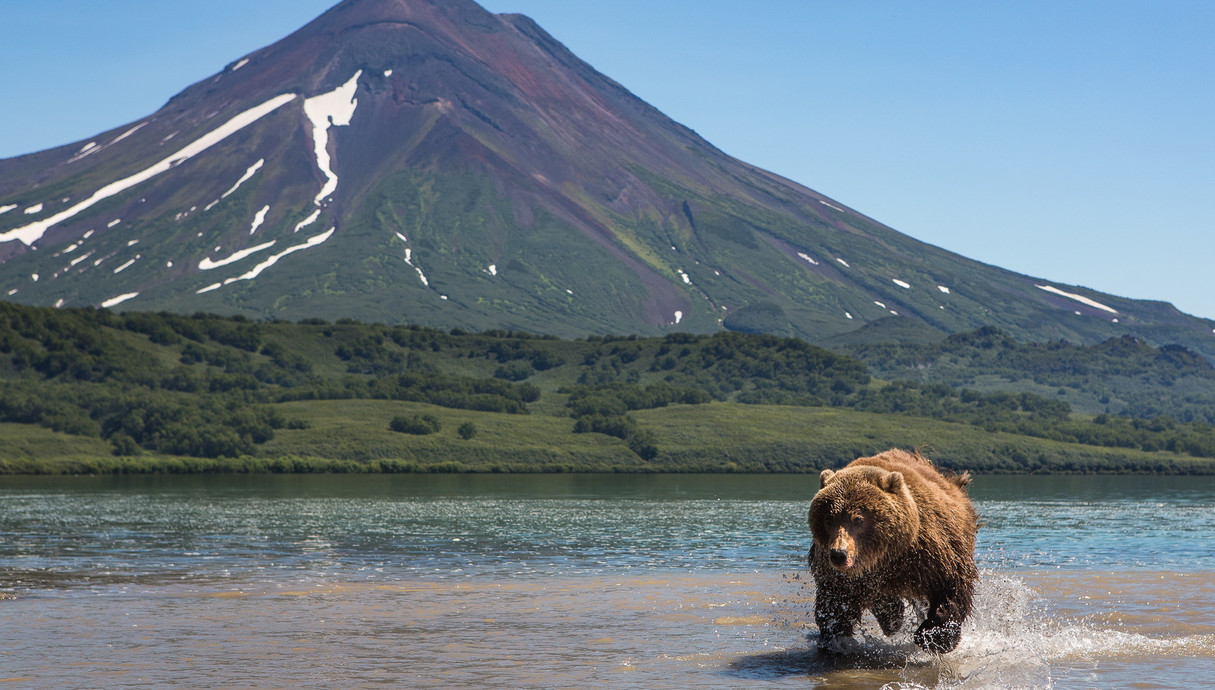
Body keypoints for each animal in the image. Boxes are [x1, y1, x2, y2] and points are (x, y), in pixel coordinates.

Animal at [806, 449, 976, 655]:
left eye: (858, 519)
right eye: (829, 518)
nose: (839, 554)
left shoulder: (930, 553)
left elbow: (951, 584)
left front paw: (933, 637)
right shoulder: (838, 572)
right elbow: (836, 602)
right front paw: (835, 636)